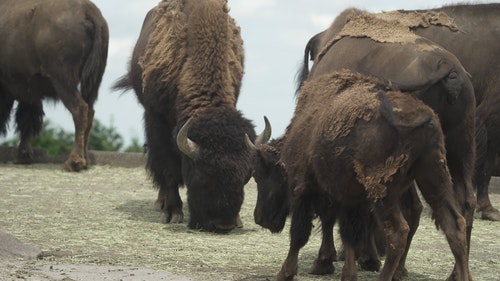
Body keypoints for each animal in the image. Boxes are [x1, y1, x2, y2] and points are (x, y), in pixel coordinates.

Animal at [0, 0, 109, 171]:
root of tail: (88, 10)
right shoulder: (29, 92)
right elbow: (28, 120)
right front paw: (23, 156)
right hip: (94, 81)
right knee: (89, 111)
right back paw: (85, 161)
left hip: (63, 80)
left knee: (79, 109)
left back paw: (73, 162)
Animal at [114, 0, 272, 232]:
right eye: (202, 176)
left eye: (246, 176)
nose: (223, 224)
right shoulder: (157, 121)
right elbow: (168, 167)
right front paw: (172, 213)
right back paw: (161, 203)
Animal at [254, 70, 468, 280]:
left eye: (261, 175)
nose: (259, 218)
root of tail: (423, 115)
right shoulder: (350, 198)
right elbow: (348, 233)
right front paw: (347, 273)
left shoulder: (304, 188)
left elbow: (300, 233)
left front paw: (286, 272)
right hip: (434, 178)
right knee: (455, 226)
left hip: (383, 193)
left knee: (398, 233)